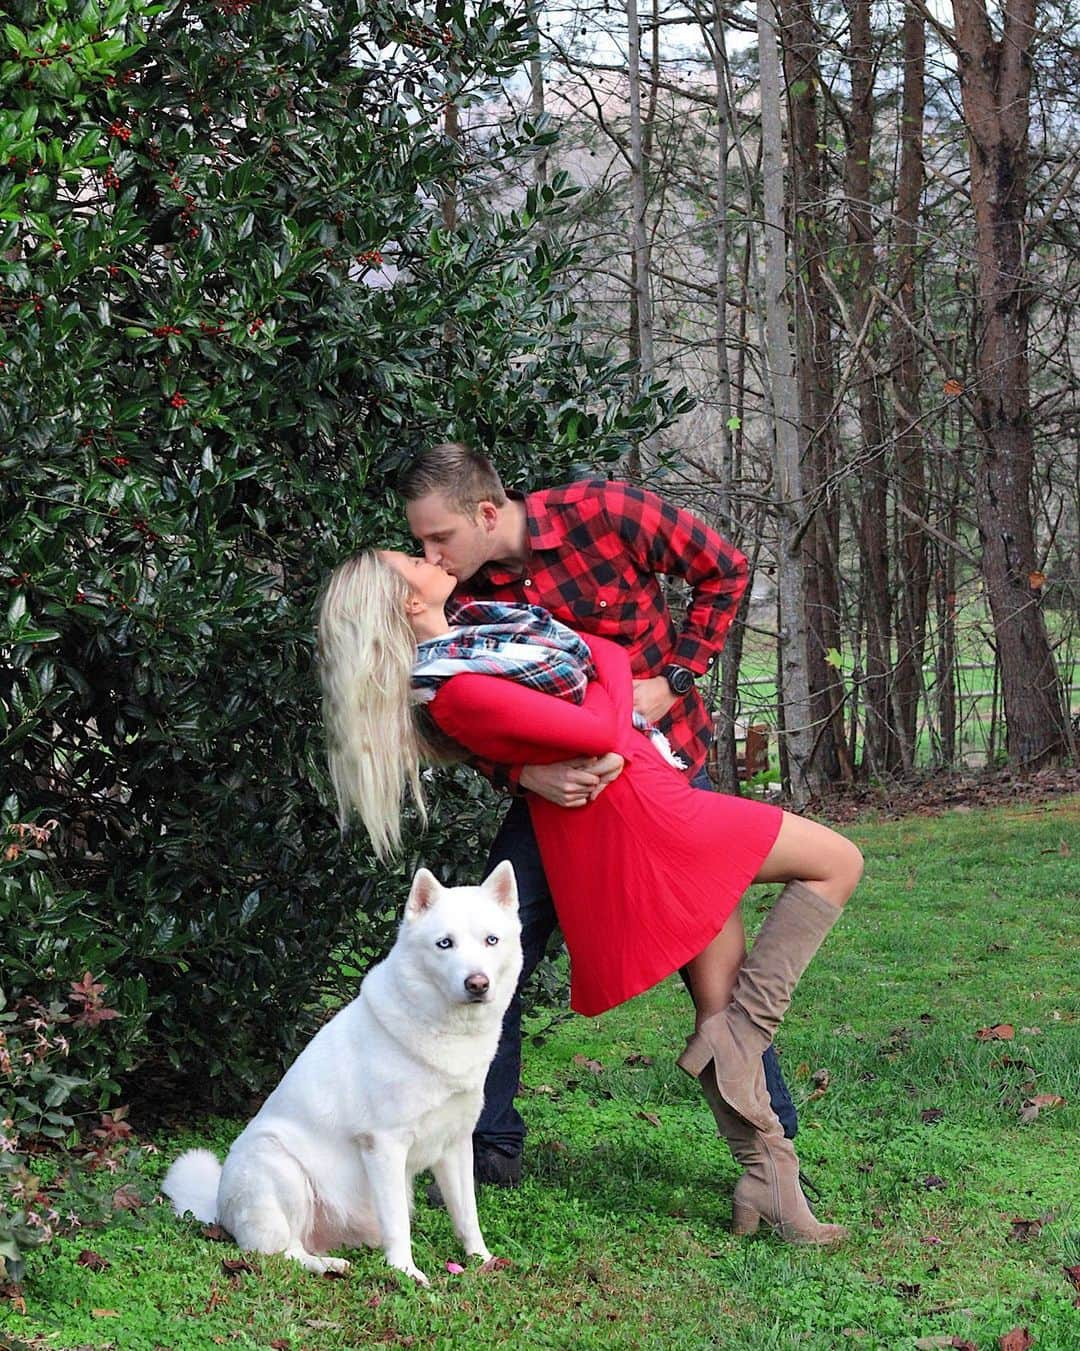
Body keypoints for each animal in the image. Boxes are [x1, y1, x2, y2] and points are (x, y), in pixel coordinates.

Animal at [162, 859, 527, 1280]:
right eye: (444, 943)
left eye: (491, 940)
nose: (477, 983)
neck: (444, 1028)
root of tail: (220, 1210)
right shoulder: (384, 1145)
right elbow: (398, 1224)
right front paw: (406, 1272)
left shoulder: (456, 1145)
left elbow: (467, 1215)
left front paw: (482, 1259)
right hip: (280, 1165)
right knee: (280, 1251)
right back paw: (329, 1265)